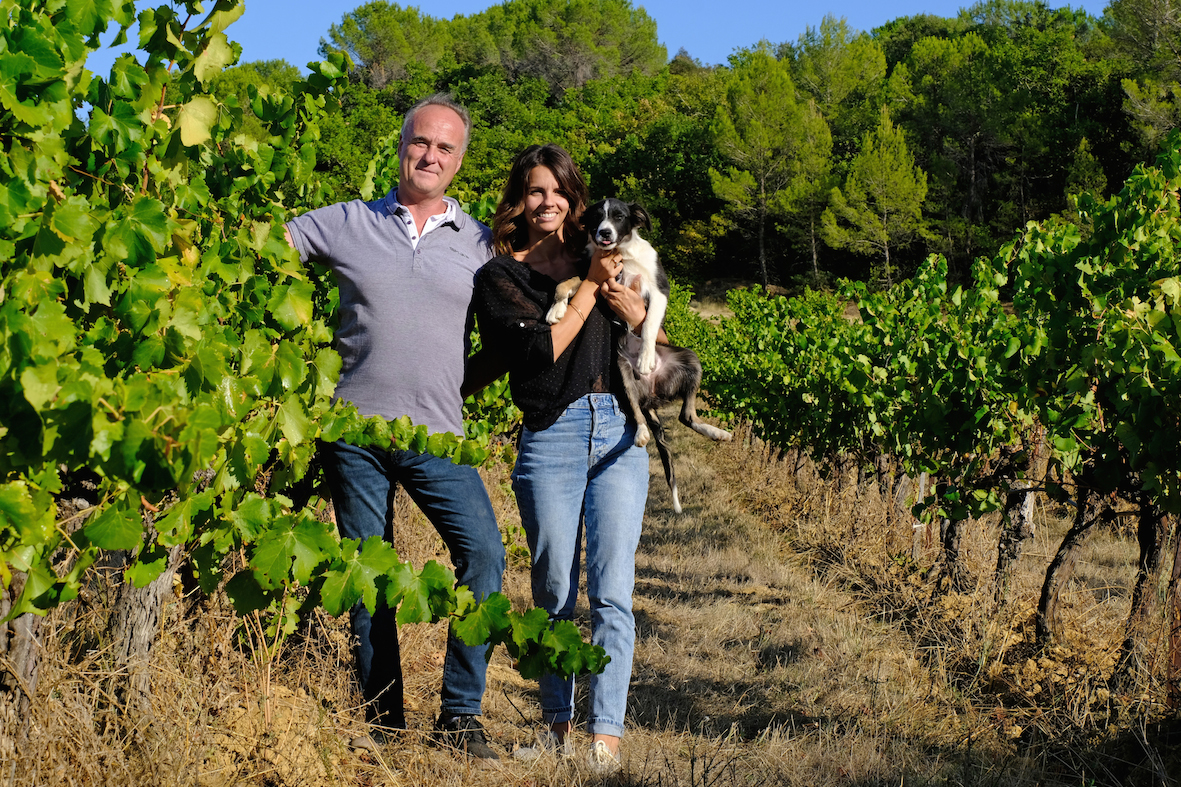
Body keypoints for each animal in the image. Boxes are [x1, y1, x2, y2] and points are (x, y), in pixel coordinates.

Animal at [543, 197, 727, 508]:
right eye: (597, 217)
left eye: (619, 216)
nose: (604, 233)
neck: (622, 254)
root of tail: (652, 395)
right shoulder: (594, 278)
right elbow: (564, 283)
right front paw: (556, 309)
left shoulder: (659, 289)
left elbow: (649, 322)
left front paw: (646, 356)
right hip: (621, 375)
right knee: (644, 415)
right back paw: (642, 432)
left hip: (691, 358)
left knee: (686, 415)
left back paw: (717, 432)